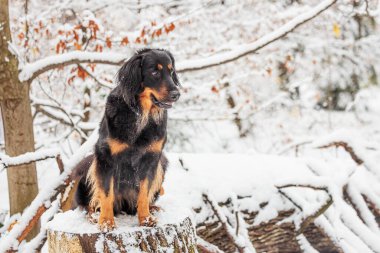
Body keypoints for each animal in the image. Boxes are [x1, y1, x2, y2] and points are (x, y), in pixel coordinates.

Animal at [71, 48, 181, 231]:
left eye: (171, 71)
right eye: (154, 72)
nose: (176, 94)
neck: (141, 114)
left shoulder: (152, 159)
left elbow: (143, 193)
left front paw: (145, 218)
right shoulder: (105, 157)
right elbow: (106, 193)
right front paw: (106, 221)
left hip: (162, 164)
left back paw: (152, 208)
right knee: (88, 204)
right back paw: (94, 215)